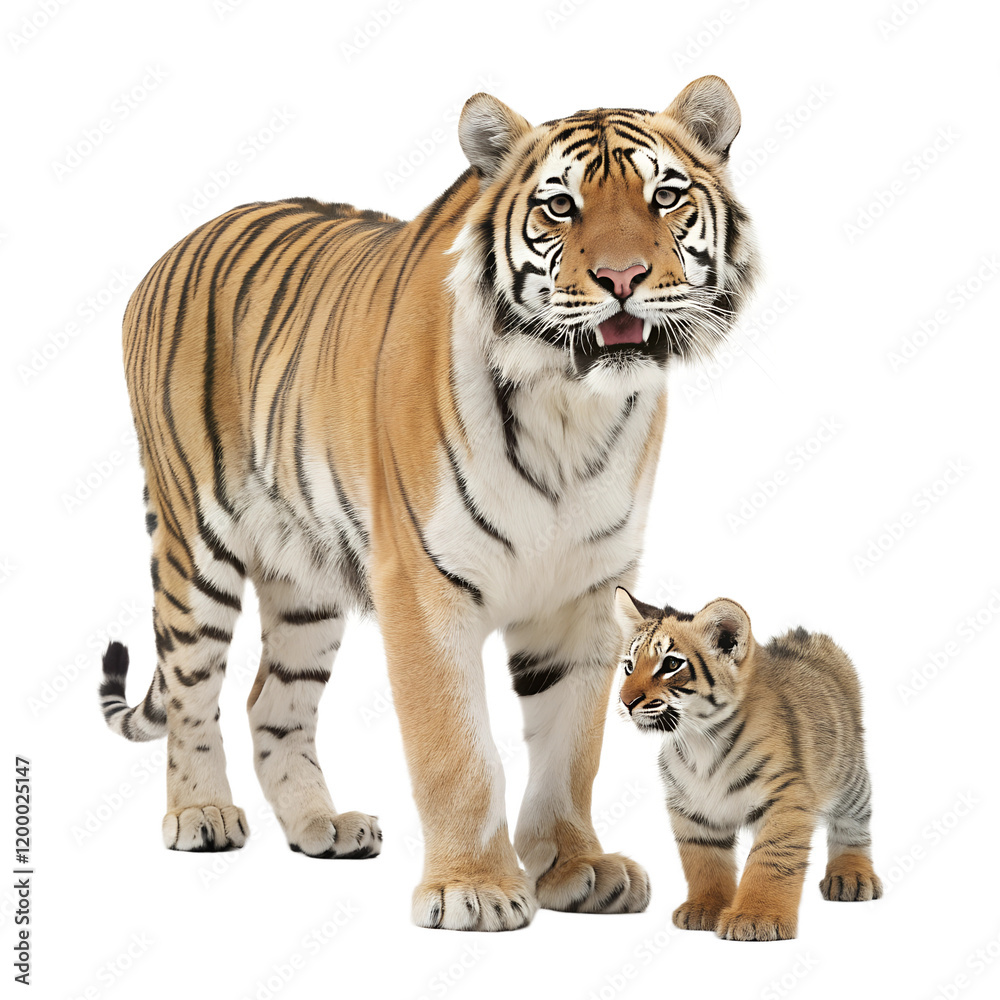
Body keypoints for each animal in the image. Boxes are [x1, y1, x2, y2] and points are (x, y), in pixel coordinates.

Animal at [98, 75, 760, 931]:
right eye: (560, 206)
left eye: (666, 197)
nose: (623, 279)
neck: (569, 405)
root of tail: (172, 248)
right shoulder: (423, 583)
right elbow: (456, 750)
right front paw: (472, 888)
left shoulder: (586, 593)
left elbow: (571, 750)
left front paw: (577, 867)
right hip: (193, 544)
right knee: (192, 690)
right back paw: (201, 813)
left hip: (305, 578)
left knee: (271, 701)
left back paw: (322, 826)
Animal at [614, 588, 883, 941]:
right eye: (629, 666)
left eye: (671, 663)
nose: (625, 701)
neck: (699, 739)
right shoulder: (691, 808)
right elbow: (704, 861)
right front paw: (705, 908)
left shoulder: (786, 797)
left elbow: (770, 859)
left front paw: (756, 918)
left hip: (847, 776)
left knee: (854, 824)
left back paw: (850, 876)